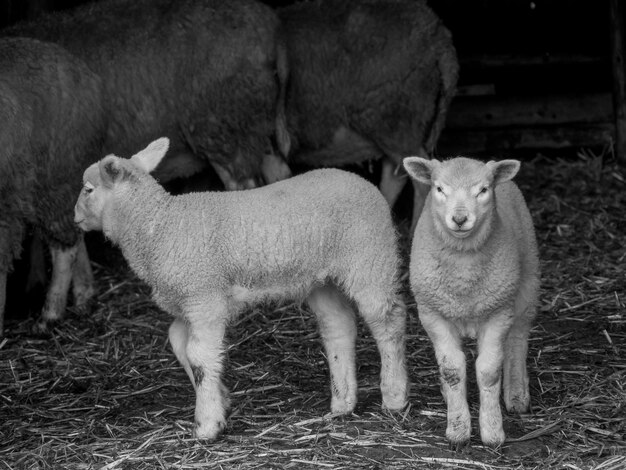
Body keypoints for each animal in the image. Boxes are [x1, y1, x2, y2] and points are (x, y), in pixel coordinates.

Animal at [73, 137, 410, 440]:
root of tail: (366, 184)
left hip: (370, 259)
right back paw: (342, 403)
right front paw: (221, 401)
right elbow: (180, 345)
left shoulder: (204, 298)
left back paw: (394, 396)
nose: (74, 218)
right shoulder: (187, 301)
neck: (159, 226)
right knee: (338, 326)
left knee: (388, 320)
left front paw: (207, 425)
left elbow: (198, 356)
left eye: (88, 189)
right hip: (323, 279)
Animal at [402, 156, 540, 446]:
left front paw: (492, 432)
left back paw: (517, 394)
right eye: (439, 189)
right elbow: (452, 369)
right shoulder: (433, 313)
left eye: (483, 190)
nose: (459, 218)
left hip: (527, 284)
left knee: (518, 339)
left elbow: (488, 371)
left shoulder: (498, 312)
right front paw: (457, 431)